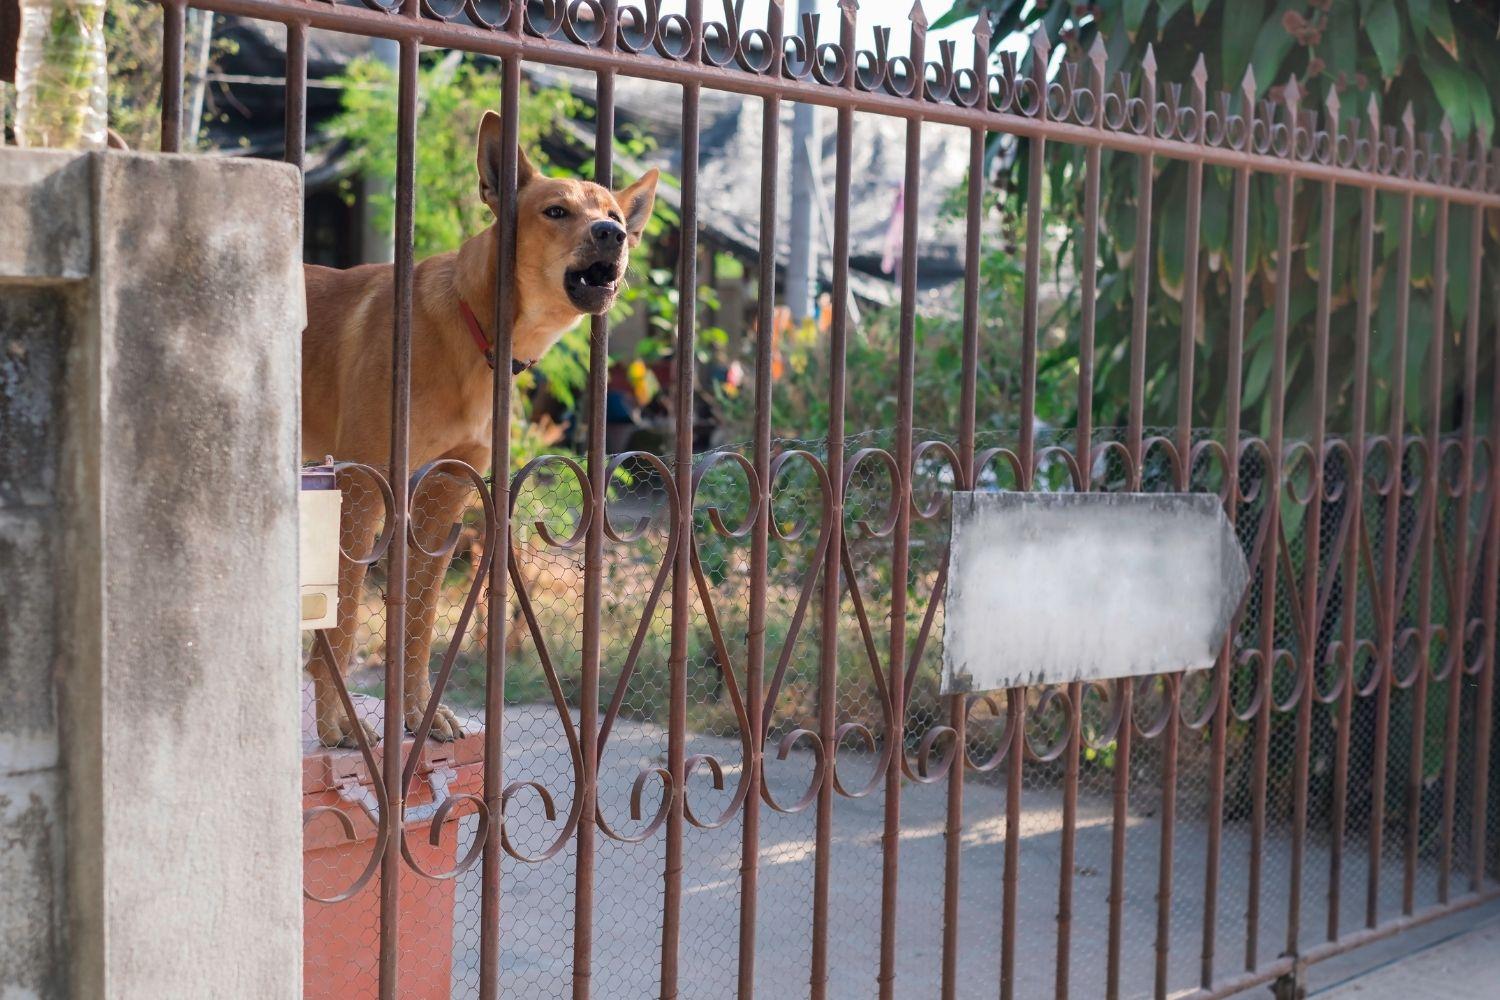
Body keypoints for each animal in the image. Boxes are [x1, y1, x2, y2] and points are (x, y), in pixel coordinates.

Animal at [303, 113, 657, 746]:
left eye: (614, 215)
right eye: (557, 211)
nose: (612, 235)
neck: (475, 335)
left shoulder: (442, 497)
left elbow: (419, 627)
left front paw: (418, 714)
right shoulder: (361, 492)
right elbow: (340, 625)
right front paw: (336, 723)